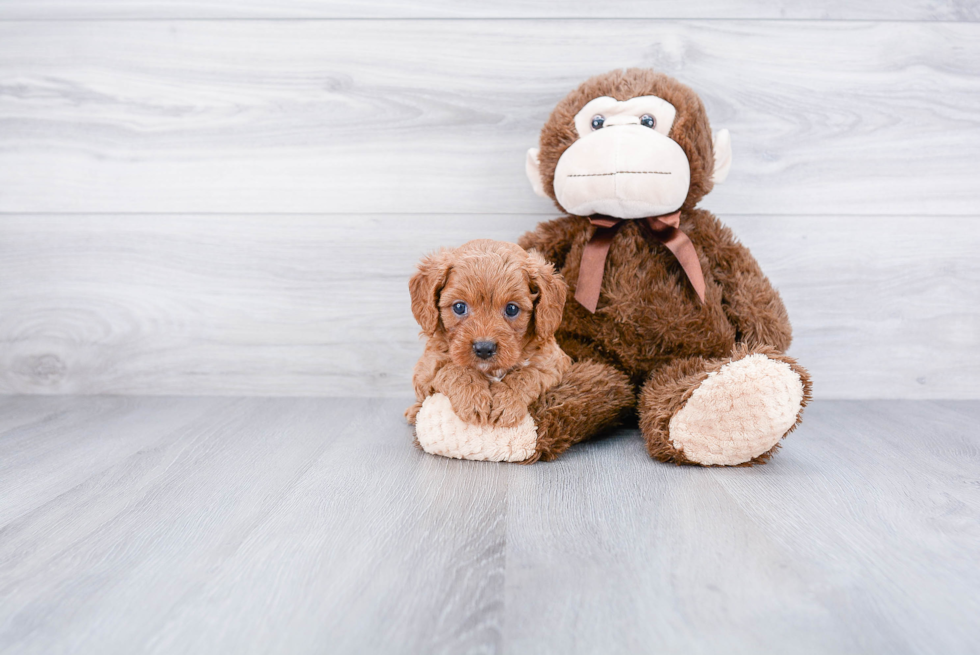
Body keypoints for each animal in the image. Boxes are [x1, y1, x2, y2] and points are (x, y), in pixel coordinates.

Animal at [408, 241, 576, 430]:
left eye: (512, 309)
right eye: (459, 307)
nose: (484, 348)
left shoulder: (553, 363)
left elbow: (527, 373)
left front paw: (506, 402)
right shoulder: (426, 369)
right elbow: (454, 369)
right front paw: (472, 398)